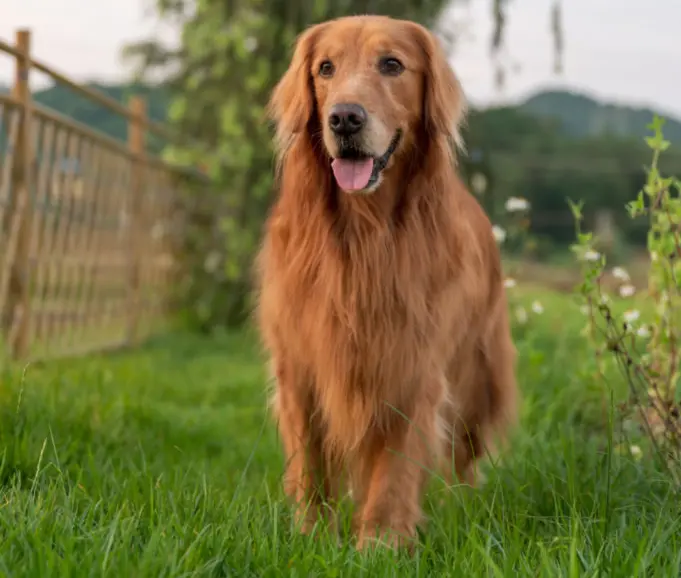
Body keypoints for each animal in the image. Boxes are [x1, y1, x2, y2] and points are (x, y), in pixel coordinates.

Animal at [254, 12, 516, 544]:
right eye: (326, 68)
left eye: (392, 64)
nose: (344, 118)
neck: (364, 233)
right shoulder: (300, 362)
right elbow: (311, 459)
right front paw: (313, 534)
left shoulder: (412, 362)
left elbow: (395, 464)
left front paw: (380, 540)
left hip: (476, 373)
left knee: (464, 453)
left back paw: (462, 506)